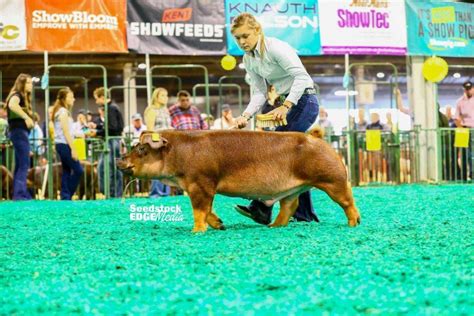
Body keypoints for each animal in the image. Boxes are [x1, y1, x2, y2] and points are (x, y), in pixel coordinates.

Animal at [117, 129, 360, 232]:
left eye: (142, 149)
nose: (119, 161)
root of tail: (320, 139)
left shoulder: (201, 182)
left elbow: (199, 210)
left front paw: (196, 231)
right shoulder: (200, 186)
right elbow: (208, 210)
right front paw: (220, 225)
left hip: (333, 179)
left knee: (348, 200)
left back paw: (353, 223)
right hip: (293, 189)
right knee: (290, 206)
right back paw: (273, 226)